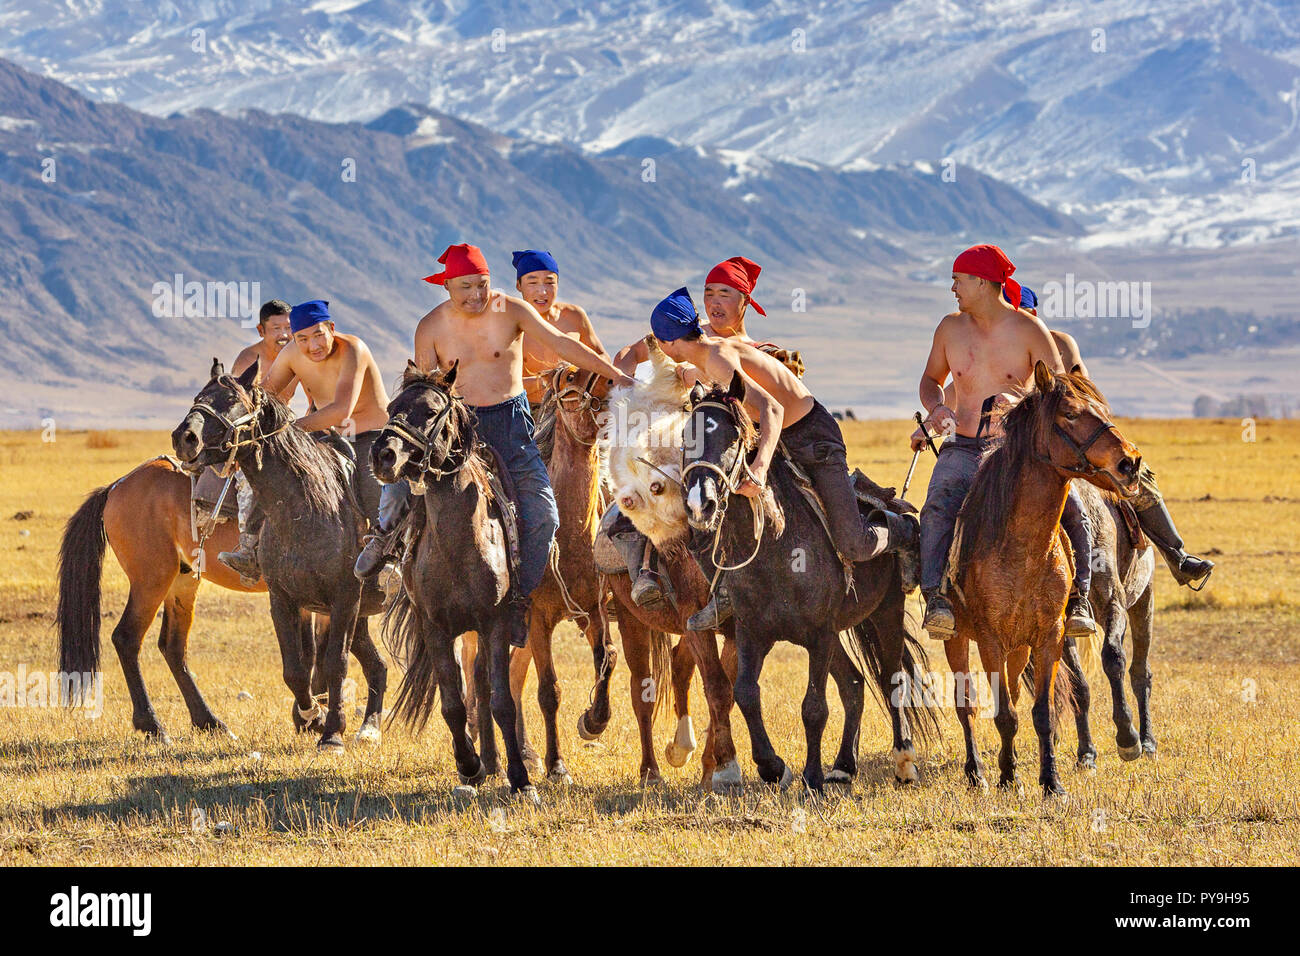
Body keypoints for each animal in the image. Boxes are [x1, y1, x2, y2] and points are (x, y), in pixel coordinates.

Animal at [166, 356, 384, 749]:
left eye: (232, 400)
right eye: (198, 397)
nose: (184, 437)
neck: (308, 506)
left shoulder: (345, 599)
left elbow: (334, 665)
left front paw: (332, 733)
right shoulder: (284, 600)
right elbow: (295, 671)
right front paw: (311, 717)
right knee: (378, 666)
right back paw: (369, 728)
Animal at [377, 361, 538, 796]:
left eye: (431, 411)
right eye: (392, 407)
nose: (383, 454)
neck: (458, 543)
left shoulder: (496, 624)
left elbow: (501, 700)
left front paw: (520, 778)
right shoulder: (435, 628)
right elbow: (452, 703)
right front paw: (469, 764)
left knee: (484, 685)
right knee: (473, 686)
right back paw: (486, 761)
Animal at [681, 374, 935, 790]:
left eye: (733, 438)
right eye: (687, 436)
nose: (699, 503)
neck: (777, 545)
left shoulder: (818, 634)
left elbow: (814, 706)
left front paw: (811, 778)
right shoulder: (754, 632)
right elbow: (746, 693)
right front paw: (773, 767)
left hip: (885, 614)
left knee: (891, 679)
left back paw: (904, 761)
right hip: (838, 635)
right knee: (854, 685)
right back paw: (844, 765)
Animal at [946, 361, 1149, 796]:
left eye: (1101, 407)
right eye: (1070, 414)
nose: (1130, 462)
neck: (1025, 549)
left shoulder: (1049, 635)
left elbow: (1038, 710)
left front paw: (1049, 781)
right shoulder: (989, 638)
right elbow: (1003, 713)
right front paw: (1008, 777)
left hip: (1019, 647)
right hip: (957, 638)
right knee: (966, 704)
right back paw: (976, 772)